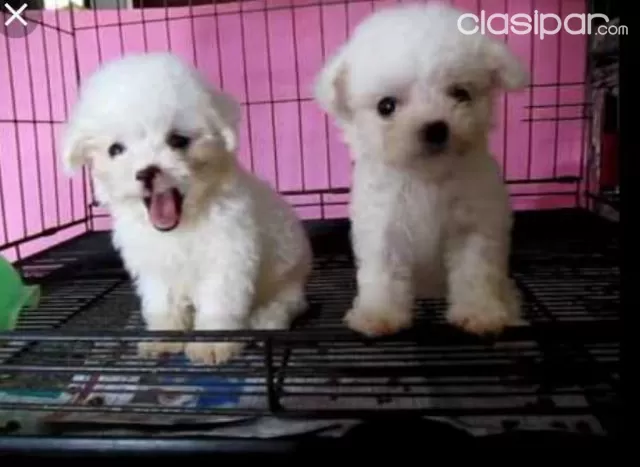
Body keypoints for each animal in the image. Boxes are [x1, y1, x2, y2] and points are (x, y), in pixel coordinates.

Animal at [60, 52, 312, 366]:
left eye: (178, 140)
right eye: (115, 150)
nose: (147, 172)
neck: (182, 226)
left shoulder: (228, 256)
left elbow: (218, 303)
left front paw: (211, 345)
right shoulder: (155, 266)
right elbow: (162, 303)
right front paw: (164, 339)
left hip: (288, 279)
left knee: (286, 304)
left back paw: (264, 319)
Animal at [312, 1, 528, 338]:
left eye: (461, 94)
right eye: (386, 106)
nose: (436, 127)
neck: (426, 178)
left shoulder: (475, 227)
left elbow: (474, 273)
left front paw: (480, 313)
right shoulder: (383, 228)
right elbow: (383, 277)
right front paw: (379, 314)